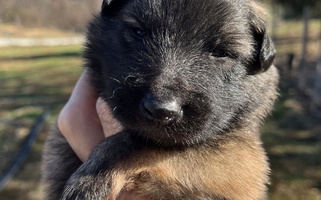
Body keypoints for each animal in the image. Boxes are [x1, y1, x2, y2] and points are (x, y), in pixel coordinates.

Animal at [42, 0, 278, 199]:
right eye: (139, 32)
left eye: (221, 52)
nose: (161, 110)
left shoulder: (237, 157)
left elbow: (143, 143)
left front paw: (93, 177)